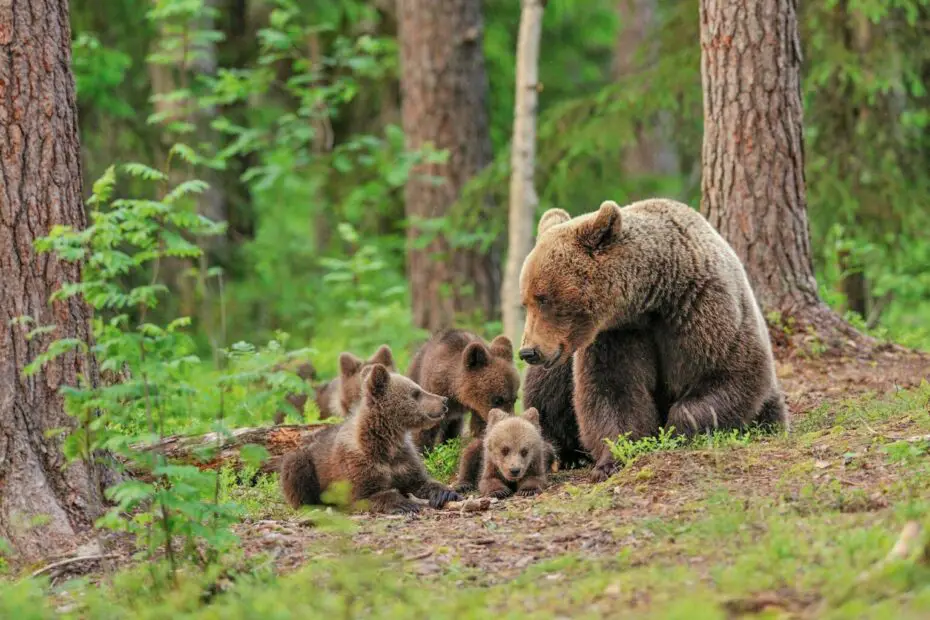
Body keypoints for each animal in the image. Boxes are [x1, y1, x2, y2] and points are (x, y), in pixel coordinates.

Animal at [520, 197, 788, 480]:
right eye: (526, 300)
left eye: (543, 298)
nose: (528, 352)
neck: (653, 298)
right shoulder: (616, 336)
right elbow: (612, 391)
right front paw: (610, 460)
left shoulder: (704, 309)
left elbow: (727, 373)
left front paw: (677, 430)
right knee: (547, 393)